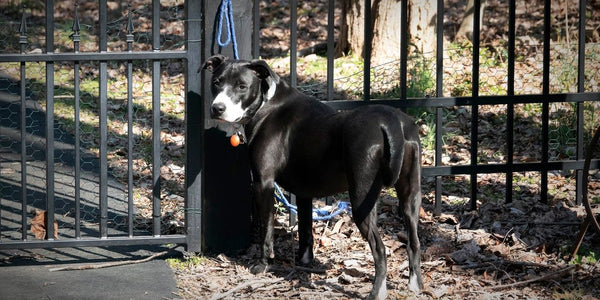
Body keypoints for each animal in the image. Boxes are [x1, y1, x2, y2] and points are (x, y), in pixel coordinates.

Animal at [202, 55, 422, 298]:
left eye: (242, 86)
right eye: (217, 82)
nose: (217, 108)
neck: (266, 103)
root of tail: (391, 121)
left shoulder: (263, 183)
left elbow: (266, 229)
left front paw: (262, 264)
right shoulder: (304, 193)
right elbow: (305, 229)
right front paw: (305, 261)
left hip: (361, 198)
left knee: (380, 248)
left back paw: (377, 292)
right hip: (410, 197)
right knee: (414, 241)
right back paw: (415, 285)